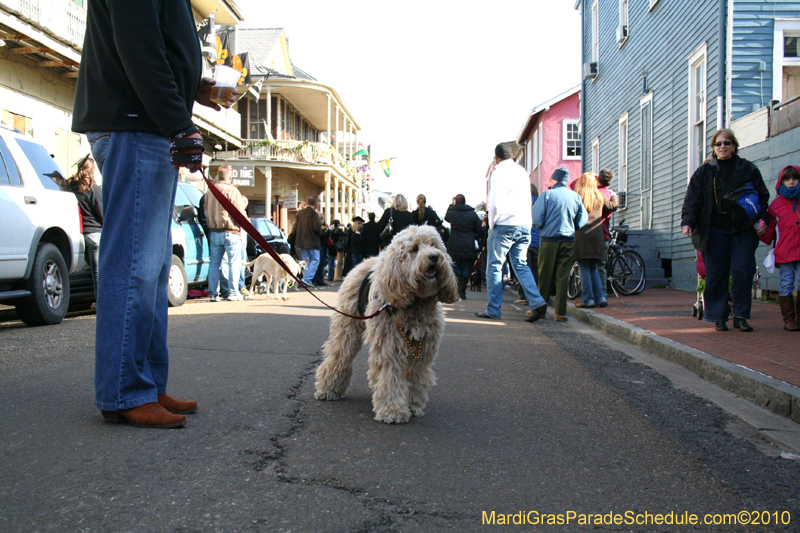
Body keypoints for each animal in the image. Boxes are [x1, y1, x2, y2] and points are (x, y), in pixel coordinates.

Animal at [316, 224, 460, 424]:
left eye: (434, 245)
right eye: (414, 249)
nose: (434, 257)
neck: (416, 302)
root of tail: (366, 262)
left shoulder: (423, 350)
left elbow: (415, 376)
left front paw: (412, 405)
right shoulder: (390, 345)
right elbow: (391, 376)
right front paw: (392, 410)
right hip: (348, 327)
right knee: (339, 356)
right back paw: (328, 389)